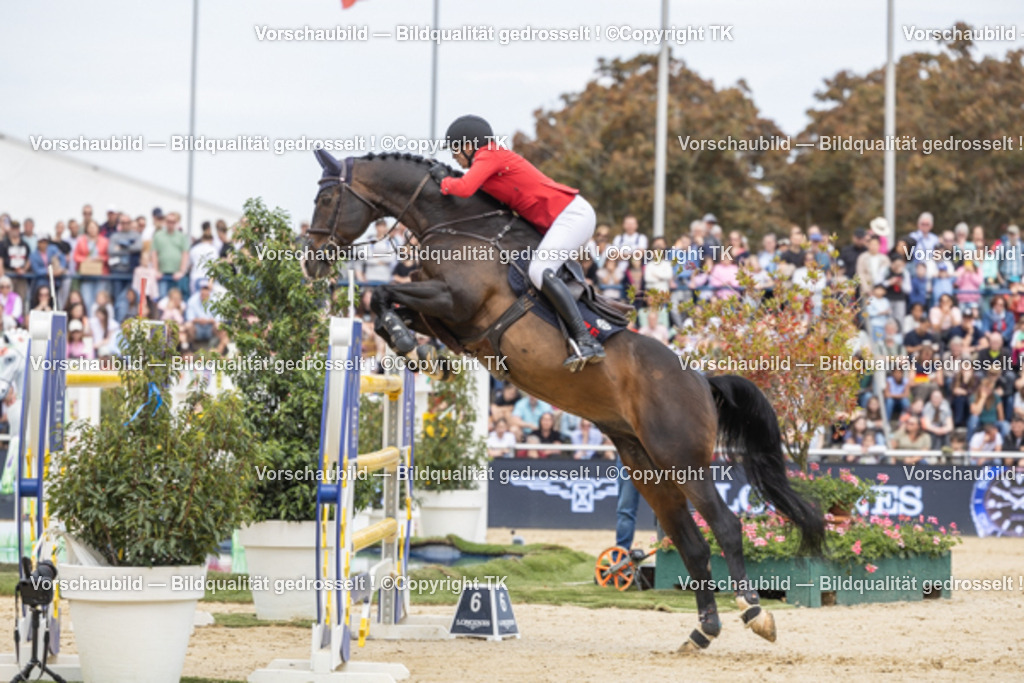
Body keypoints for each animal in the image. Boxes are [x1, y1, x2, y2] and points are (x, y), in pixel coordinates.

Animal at [304, 149, 824, 652]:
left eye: (326, 200)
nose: (312, 262)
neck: (454, 224)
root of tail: (701, 380)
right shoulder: (449, 318)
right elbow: (388, 305)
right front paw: (415, 350)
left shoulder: (456, 301)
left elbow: (384, 293)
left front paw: (408, 346)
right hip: (646, 465)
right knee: (692, 543)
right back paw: (702, 632)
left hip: (683, 460)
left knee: (727, 526)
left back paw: (755, 613)